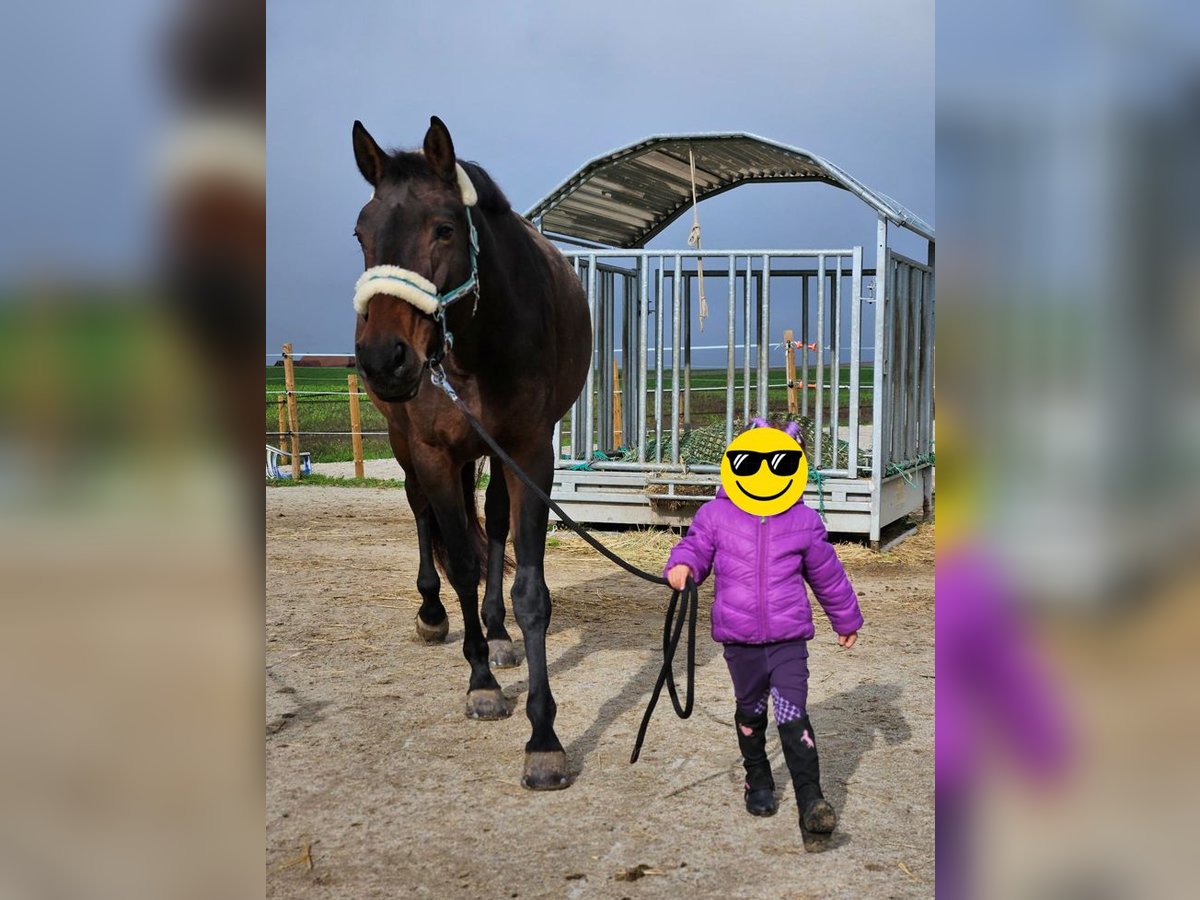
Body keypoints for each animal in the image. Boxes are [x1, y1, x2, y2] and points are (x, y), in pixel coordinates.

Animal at [350, 118, 592, 787]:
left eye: (444, 229)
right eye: (361, 233)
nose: (383, 358)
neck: (478, 346)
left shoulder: (529, 454)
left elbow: (529, 589)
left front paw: (543, 738)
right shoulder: (433, 452)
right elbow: (459, 561)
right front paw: (481, 684)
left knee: (494, 523)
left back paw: (497, 631)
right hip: (408, 447)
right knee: (423, 515)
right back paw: (434, 614)